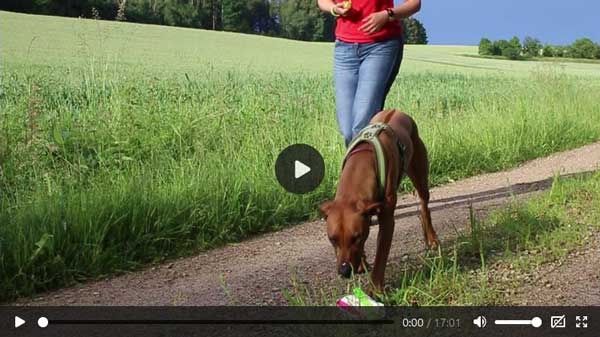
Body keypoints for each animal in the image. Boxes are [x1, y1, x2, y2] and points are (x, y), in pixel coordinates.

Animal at [318, 109, 440, 290]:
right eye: (332, 239)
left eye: (356, 237)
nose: (345, 271)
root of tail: (397, 110)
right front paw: (361, 263)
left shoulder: (387, 219)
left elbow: (381, 257)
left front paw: (375, 288)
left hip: (419, 171)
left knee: (424, 204)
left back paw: (431, 237)